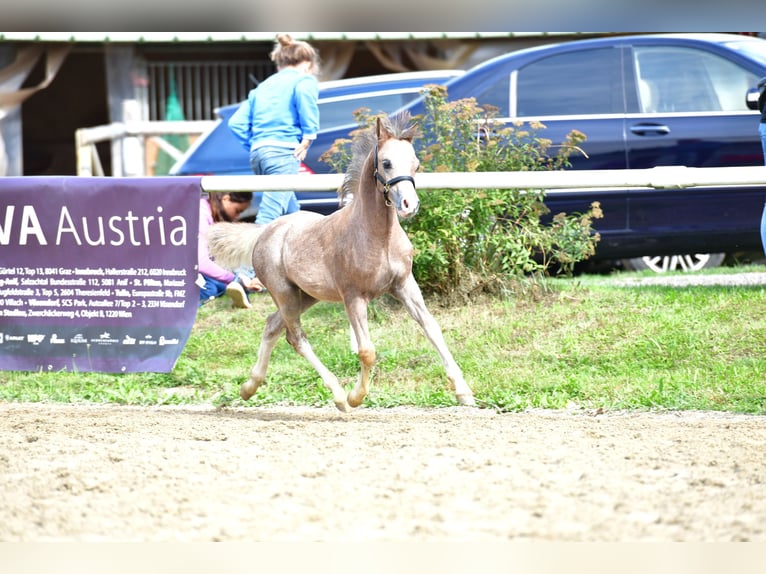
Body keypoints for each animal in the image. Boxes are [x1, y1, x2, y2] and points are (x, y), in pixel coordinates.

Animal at [206, 112, 475, 412]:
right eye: (386, 163)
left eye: (416, 163)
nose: (409, 205)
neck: (379, 237)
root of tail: (264, 231)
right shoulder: (354, 296)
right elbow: (367, 351)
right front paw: (356, 397)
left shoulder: (405, 285)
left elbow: (432, 329)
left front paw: (463, 392)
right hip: (284, 293)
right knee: (295, 337)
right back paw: (338, 395)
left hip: (306, 295)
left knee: (272, 325)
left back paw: (249, 387)